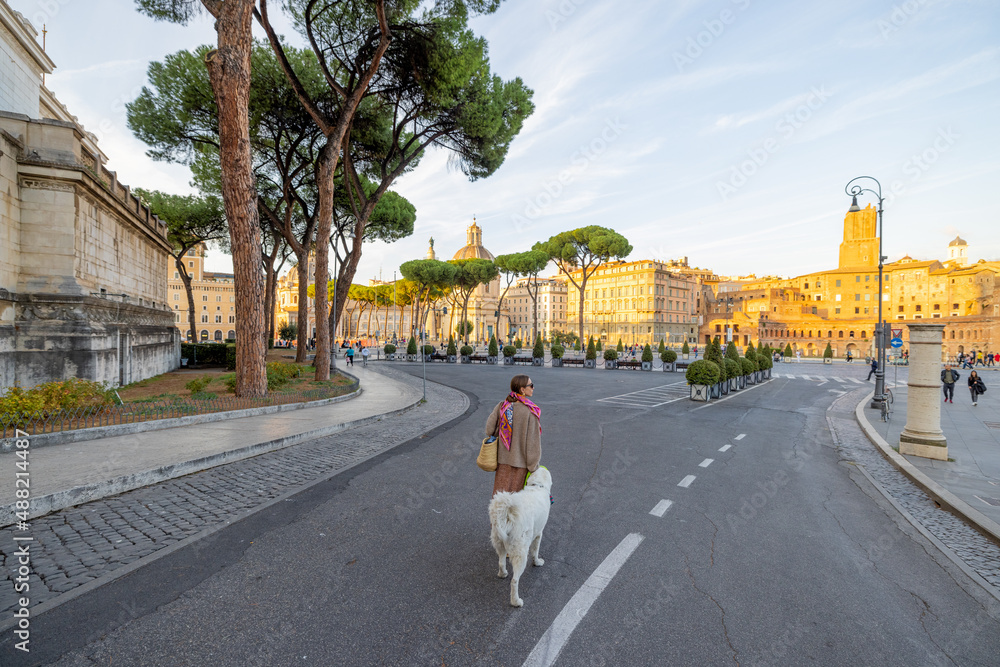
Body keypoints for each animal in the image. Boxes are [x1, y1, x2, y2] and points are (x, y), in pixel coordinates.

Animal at [486, 468, 552, 608]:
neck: (537, 486)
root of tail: (507, 516)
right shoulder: (539, 534)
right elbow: (535, 552)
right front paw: (537, 562)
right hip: (520, 552)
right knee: (515, 580)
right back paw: (516, 602)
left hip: (499, 542)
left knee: (501, 562)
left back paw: (502, 574)